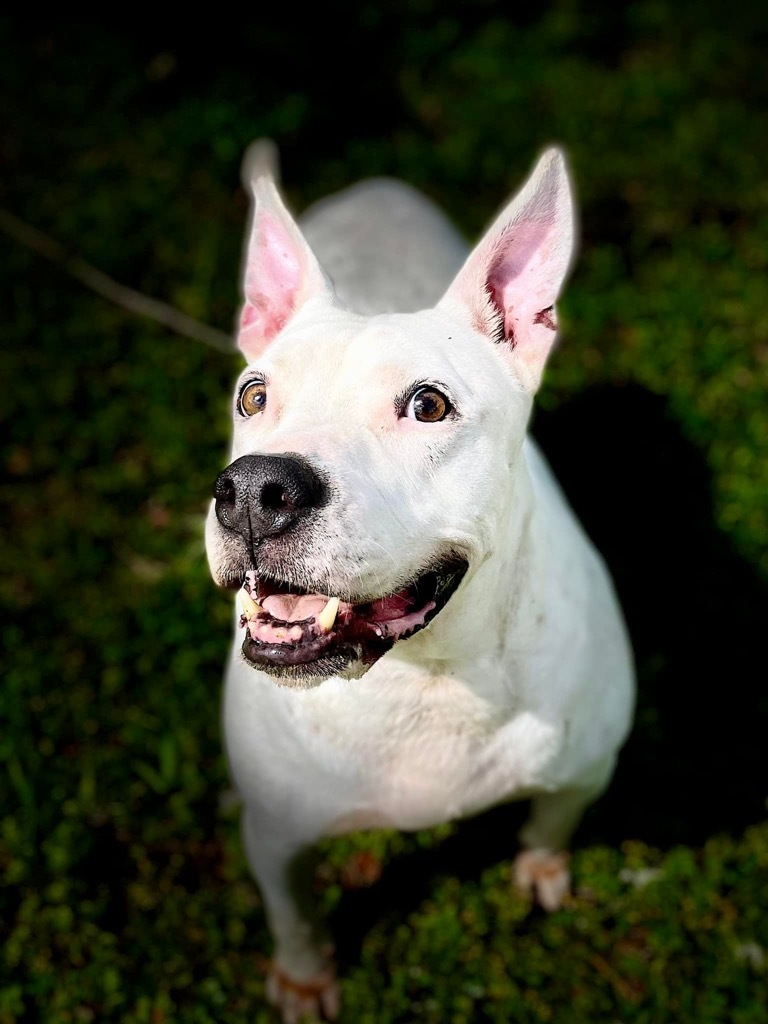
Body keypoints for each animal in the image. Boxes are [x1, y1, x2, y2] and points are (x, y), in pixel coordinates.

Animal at [207, 146, 634, 1024]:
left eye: (428, 405)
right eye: (253, 395)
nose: (254, 490)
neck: (428, 677)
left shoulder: (585, 771)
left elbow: (552, 823)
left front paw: (541, 869)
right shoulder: (280, 837)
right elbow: (295, 914)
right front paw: (305, 977)